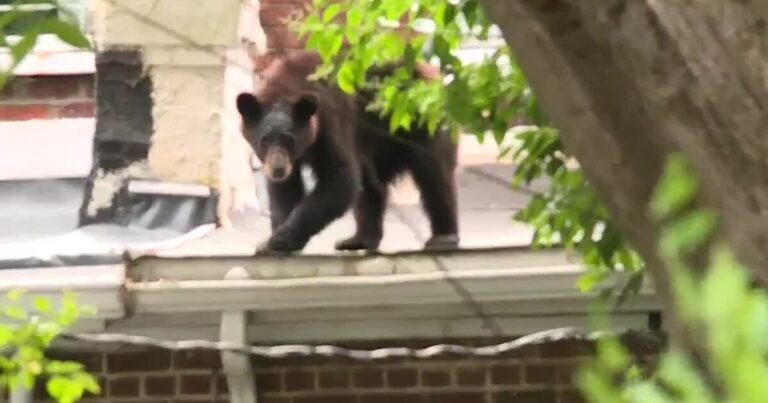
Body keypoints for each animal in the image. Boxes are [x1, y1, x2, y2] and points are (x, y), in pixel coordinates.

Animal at [236, 50, 459, 254]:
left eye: (289, 139)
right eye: (265, 140)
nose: (278, 169)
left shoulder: (331, 122)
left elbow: (340, 179)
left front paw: (280, 239)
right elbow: (286, 191)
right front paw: (272, 240)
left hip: (421, 122)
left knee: (434, 175)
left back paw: (444, 237)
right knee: (371, 184)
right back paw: (359, 239)